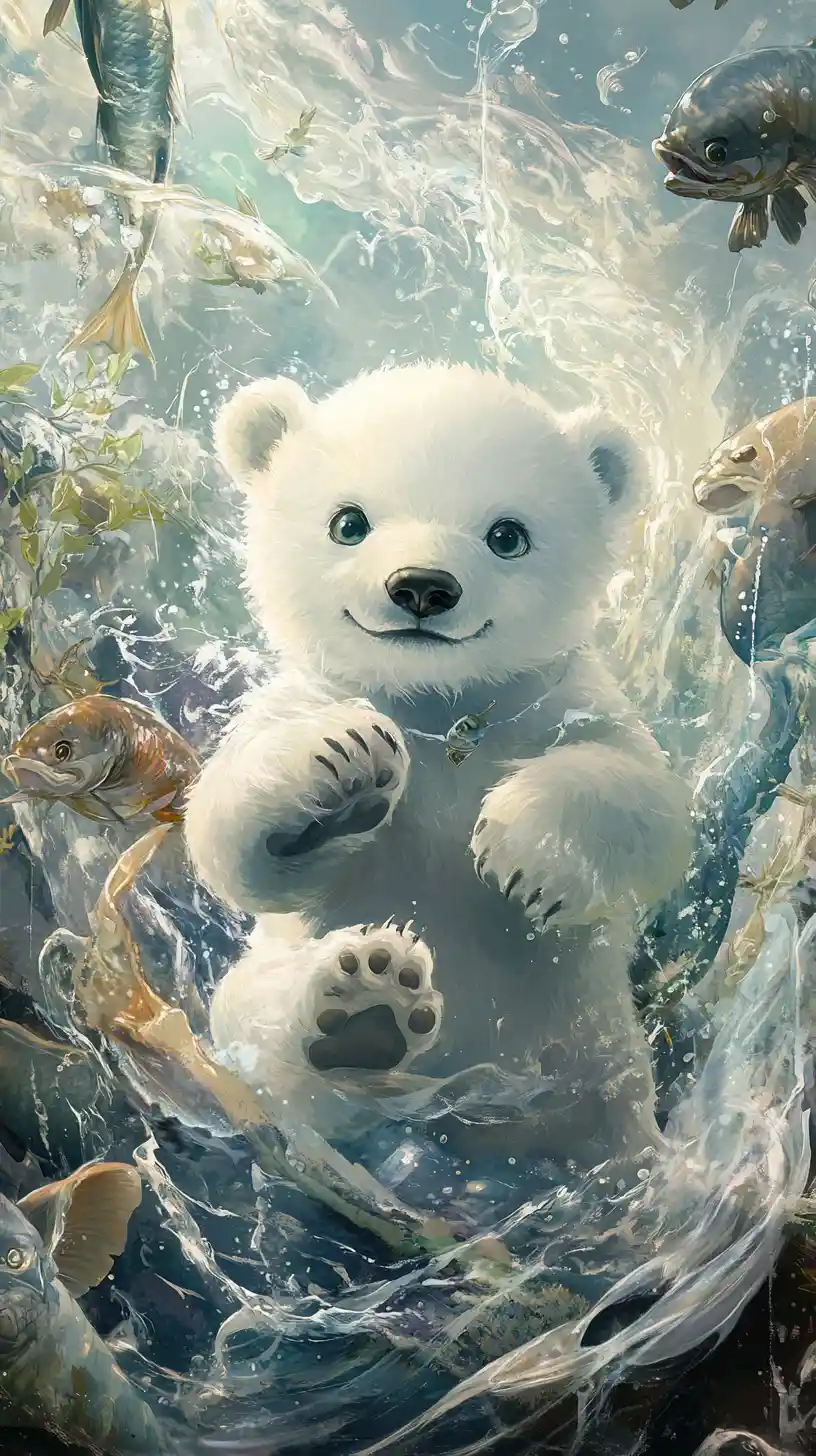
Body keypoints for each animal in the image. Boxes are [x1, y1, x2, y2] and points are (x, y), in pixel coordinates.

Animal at [184, 361, 693, 1169]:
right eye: (349, 523)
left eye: (507, 535)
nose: (422, 586)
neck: (437, 702)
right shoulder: (302, 696)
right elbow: (227, 840)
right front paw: (343, 770)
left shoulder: (562, 702)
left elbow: (650, 803)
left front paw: (523, 848)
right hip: (258, 1016)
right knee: (262, 1026)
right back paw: (362, 1012)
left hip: (595, 1045)